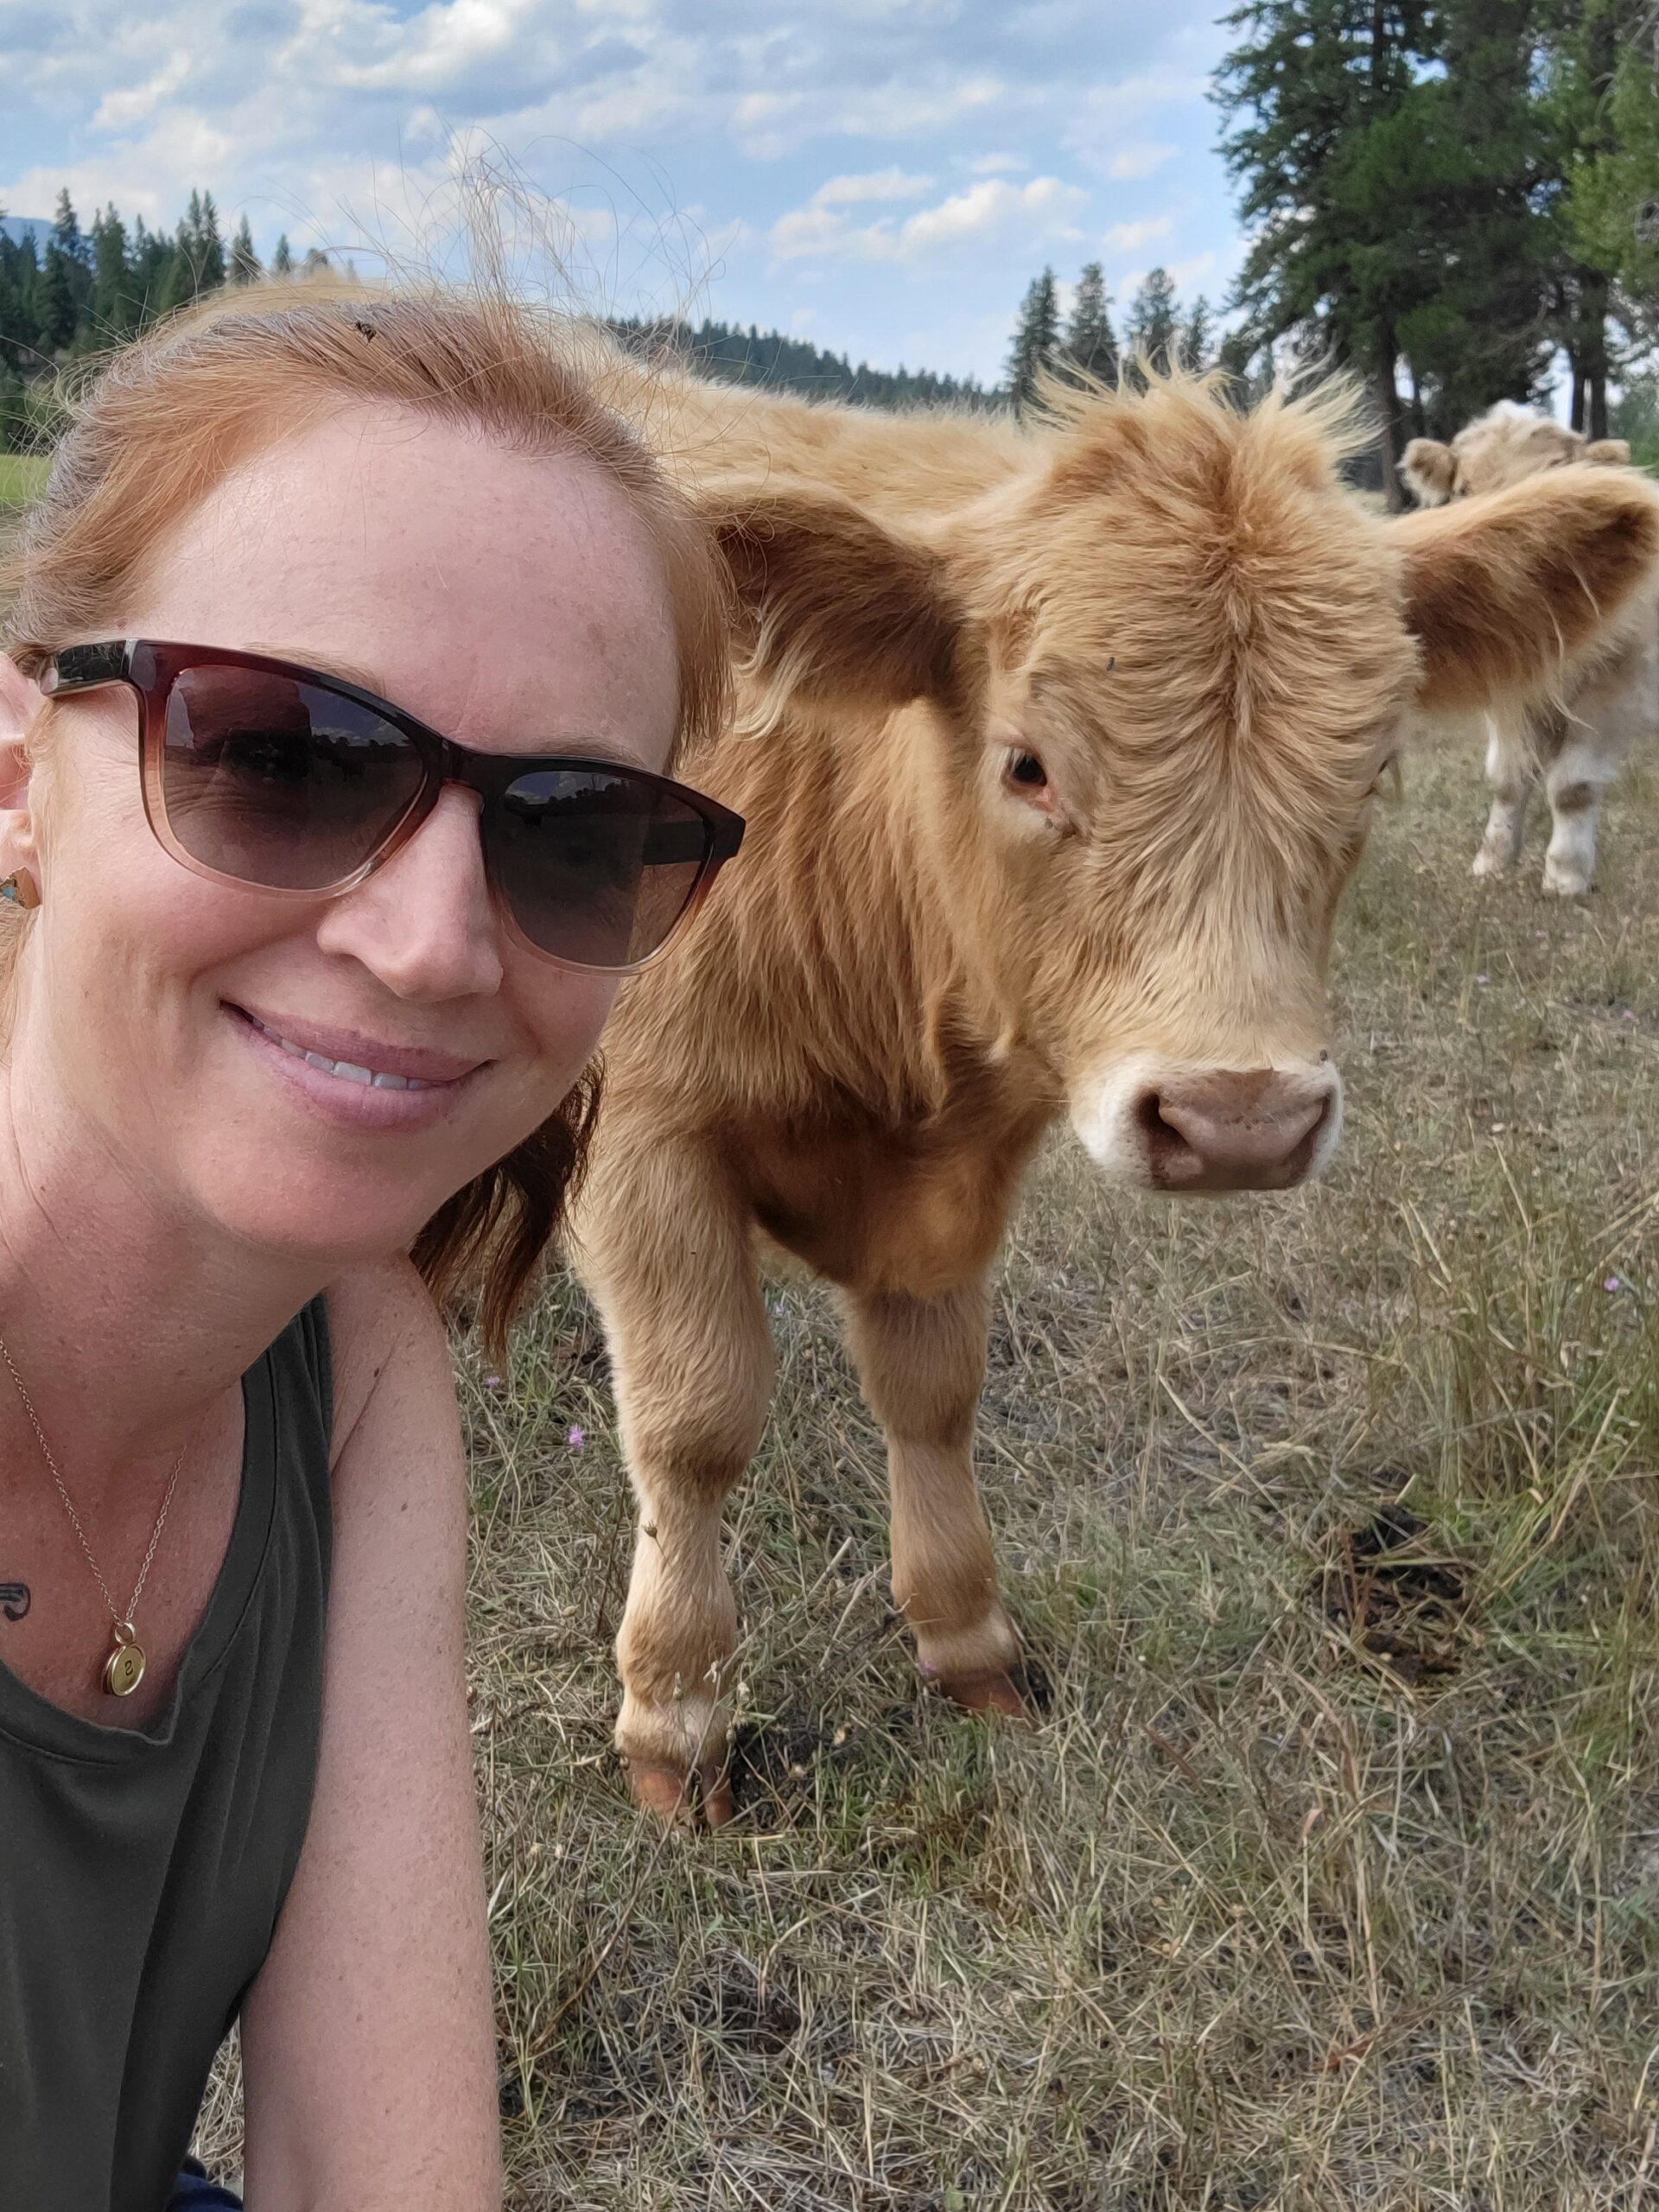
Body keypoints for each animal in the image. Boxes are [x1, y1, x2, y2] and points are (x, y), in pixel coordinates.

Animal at [1401, 401, 1656, 895]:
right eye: (1463, 490)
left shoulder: (1611, 690)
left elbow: (1572, 786)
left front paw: (1565, 876)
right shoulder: (1505, 692)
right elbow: (1507, 779)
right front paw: (1493, 861)